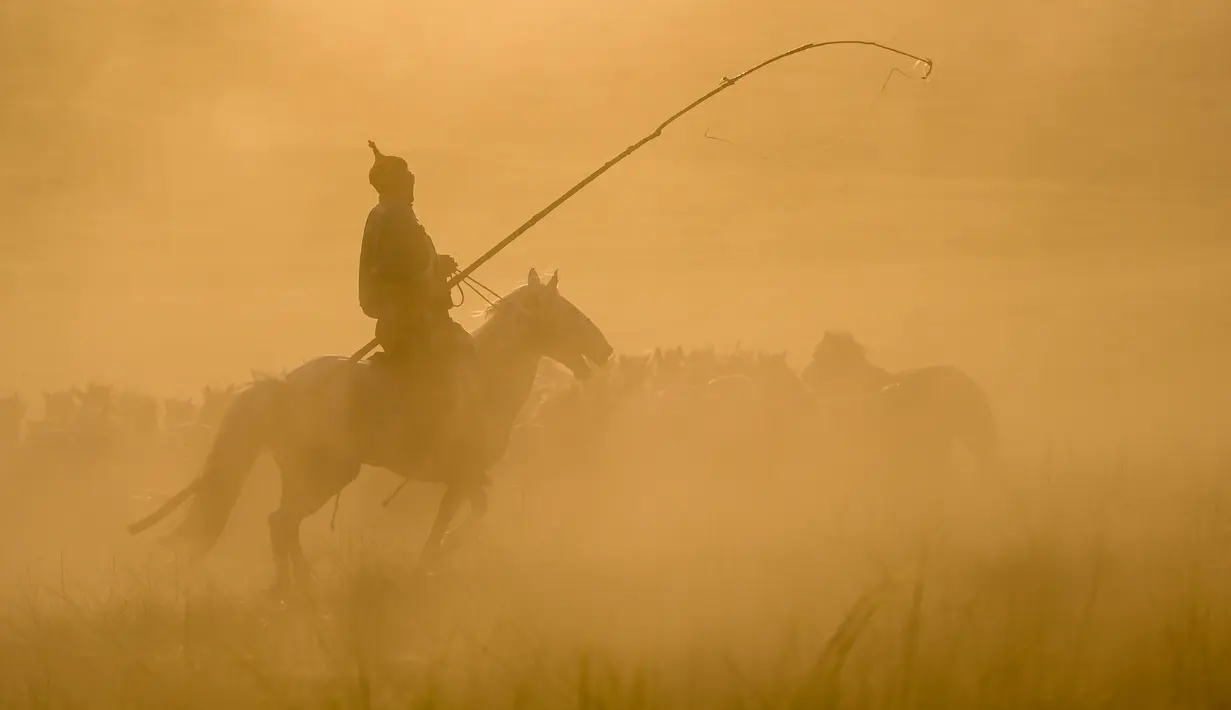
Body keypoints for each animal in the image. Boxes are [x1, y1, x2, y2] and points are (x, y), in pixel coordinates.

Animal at [128, 268, 610, 595]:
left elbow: (471, 513)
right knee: (282, 521)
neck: (487, 376)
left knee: (281, 523)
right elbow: (455, 521)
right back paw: (294, 589)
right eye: (569, 313)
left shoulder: (466, 479)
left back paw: (297, 586)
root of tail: (282, 387)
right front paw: (429, 563)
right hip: (325, 476)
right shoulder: (461, 477)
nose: (605, 351)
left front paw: (434, 558)